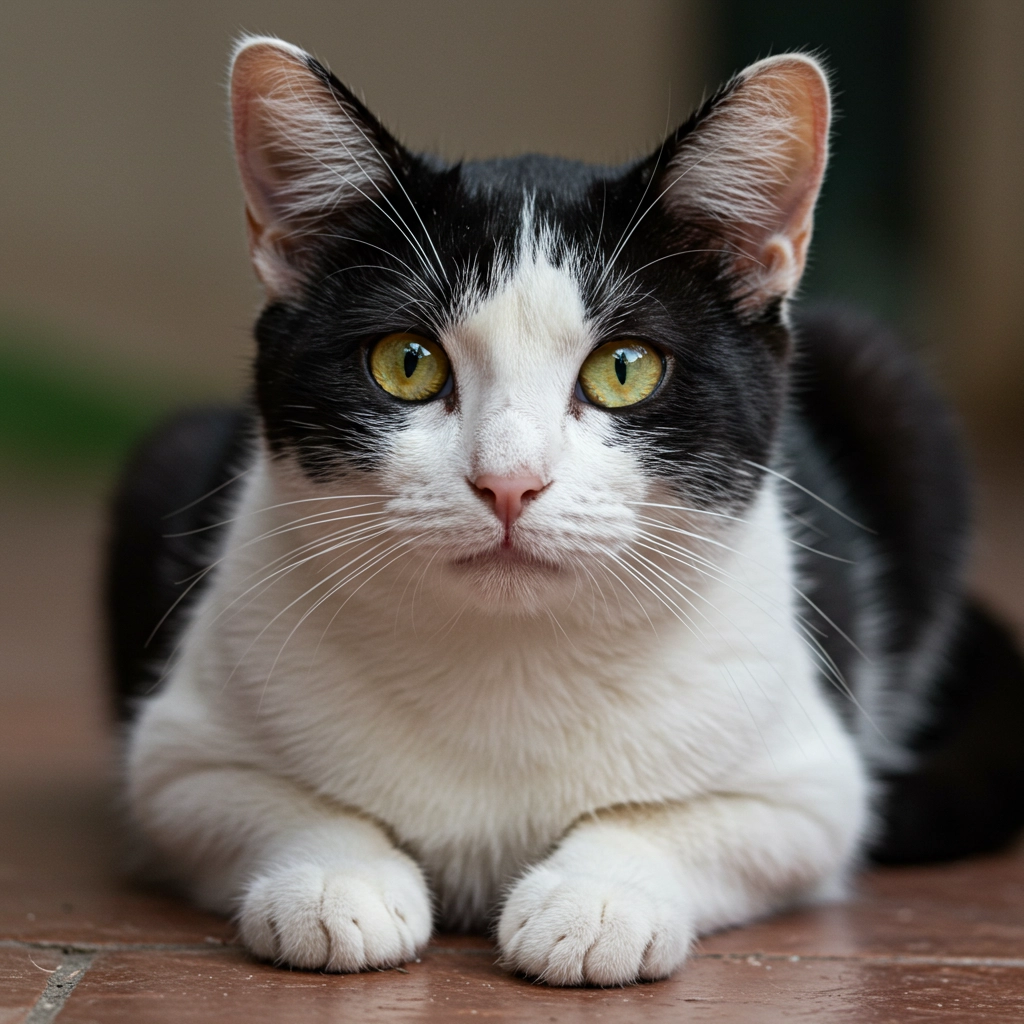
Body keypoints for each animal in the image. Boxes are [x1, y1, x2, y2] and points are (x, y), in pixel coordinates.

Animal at [105, 36, 1024, 987]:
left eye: (625, 368)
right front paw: (332, 879)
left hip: (893, 387)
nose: (509, 480)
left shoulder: (811, 789)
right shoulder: (177, 759)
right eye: (406, 362)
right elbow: (254, 796)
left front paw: (599, 898)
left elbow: (693, 818)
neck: (508, 661)